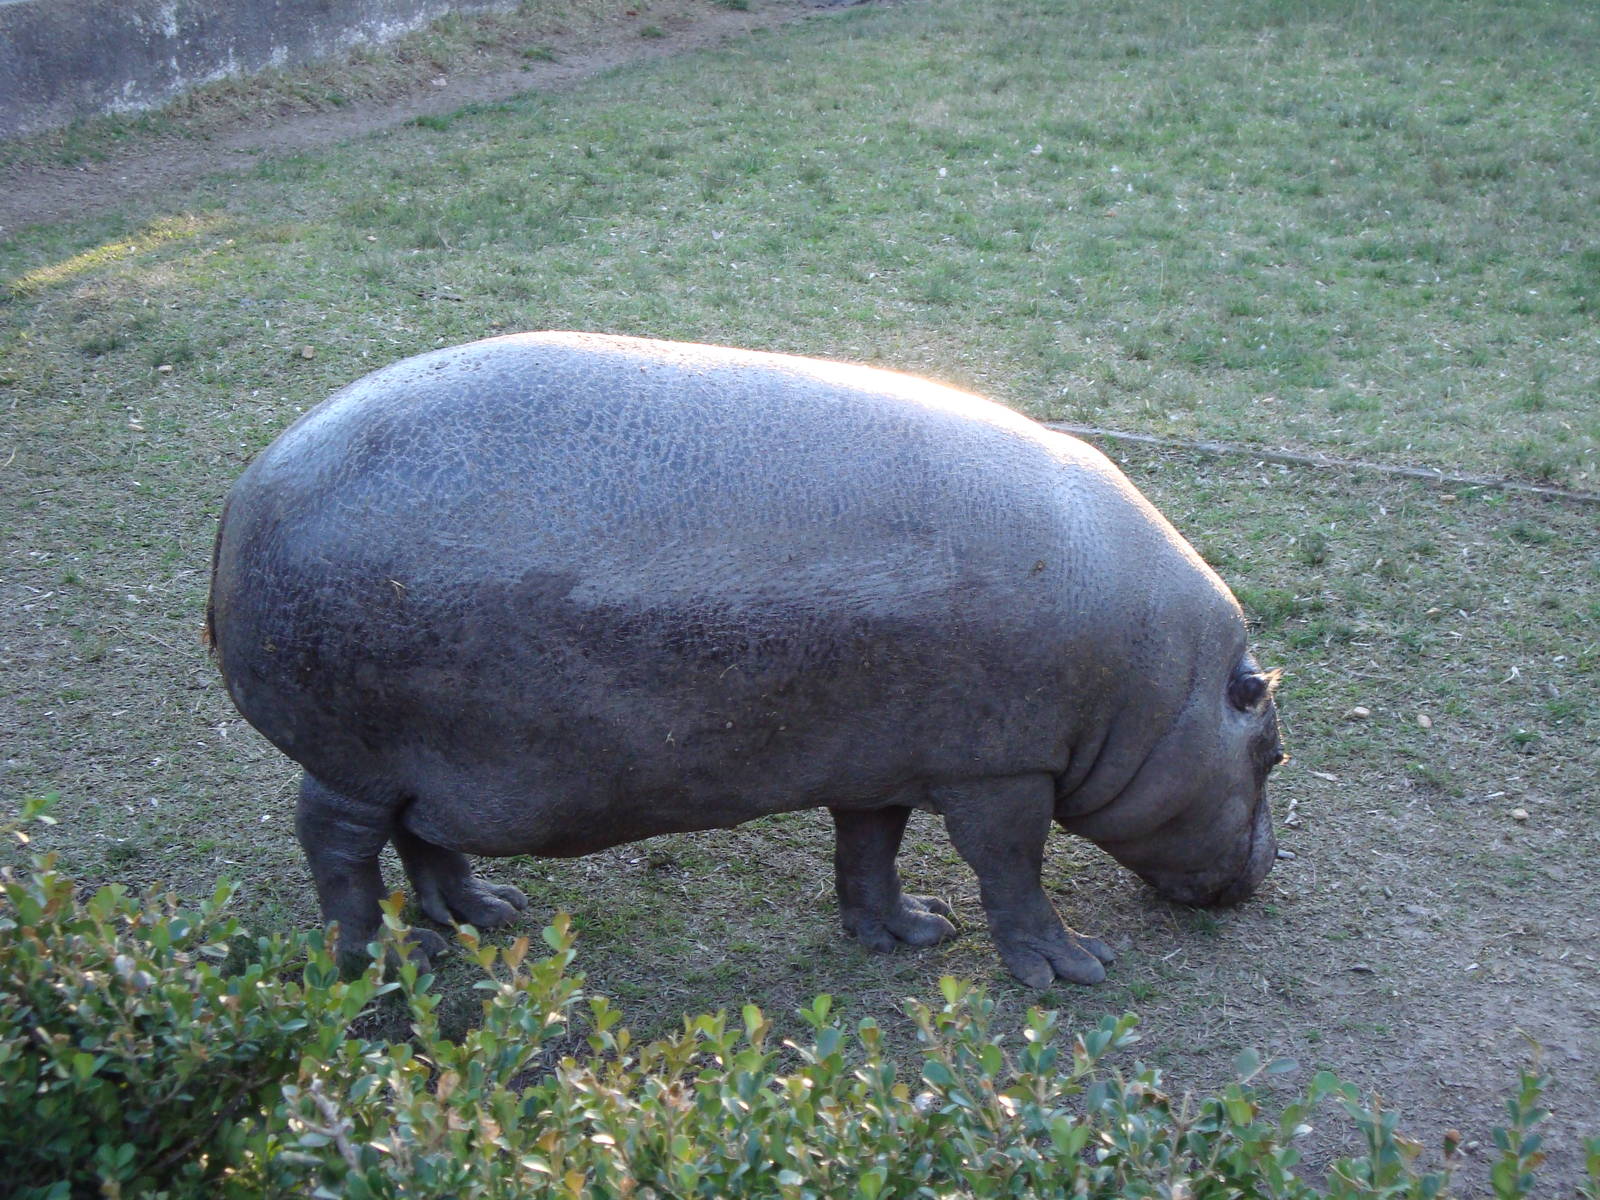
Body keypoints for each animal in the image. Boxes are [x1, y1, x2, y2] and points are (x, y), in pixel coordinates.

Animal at [206, 333, 1284, 987]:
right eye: (1271, 750)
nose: (1268, 866)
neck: (1158, 681)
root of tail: (250, 488)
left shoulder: (883, 755)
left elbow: (869, 852)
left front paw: (911, 931)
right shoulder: (1002, 768)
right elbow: (1012, 872)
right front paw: (1072, 969)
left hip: (435, 761)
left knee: (425, 837)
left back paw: (487, 915)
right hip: (352, 754)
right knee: (337, 841)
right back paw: (384, 961)